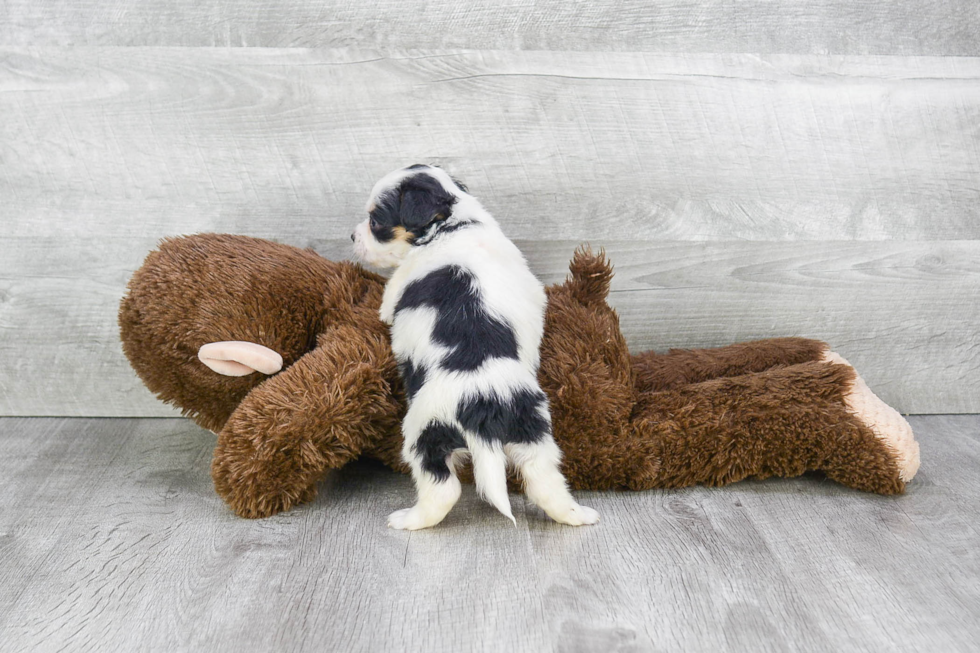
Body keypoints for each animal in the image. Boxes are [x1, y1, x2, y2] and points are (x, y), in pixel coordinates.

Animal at [352, 163, 596, 528]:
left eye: (375, 221)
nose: (353, 237)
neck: (453, 225)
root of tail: (482, 407)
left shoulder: (395, 289)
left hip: (424, 433)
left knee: (442, 488)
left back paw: (408, 520)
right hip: (533, 431)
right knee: (543, 481)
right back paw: (577, 515)